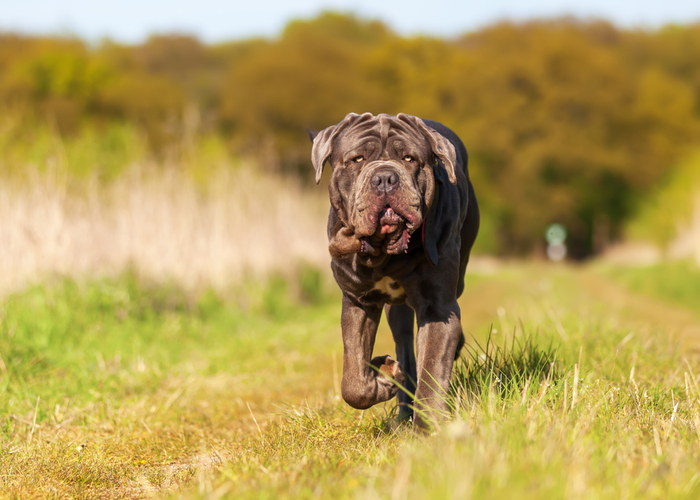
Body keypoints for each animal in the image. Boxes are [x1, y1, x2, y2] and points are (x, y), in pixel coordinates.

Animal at [308, 113, 478, 430]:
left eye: (410, 158)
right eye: (357, 159)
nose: (385, 177)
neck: (384, 254)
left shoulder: (438, 306)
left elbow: (433, 368)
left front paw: (427, 428)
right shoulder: (358, 301)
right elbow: (353, 378)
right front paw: (381, 383)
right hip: (395, 312)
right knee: (405, 349)